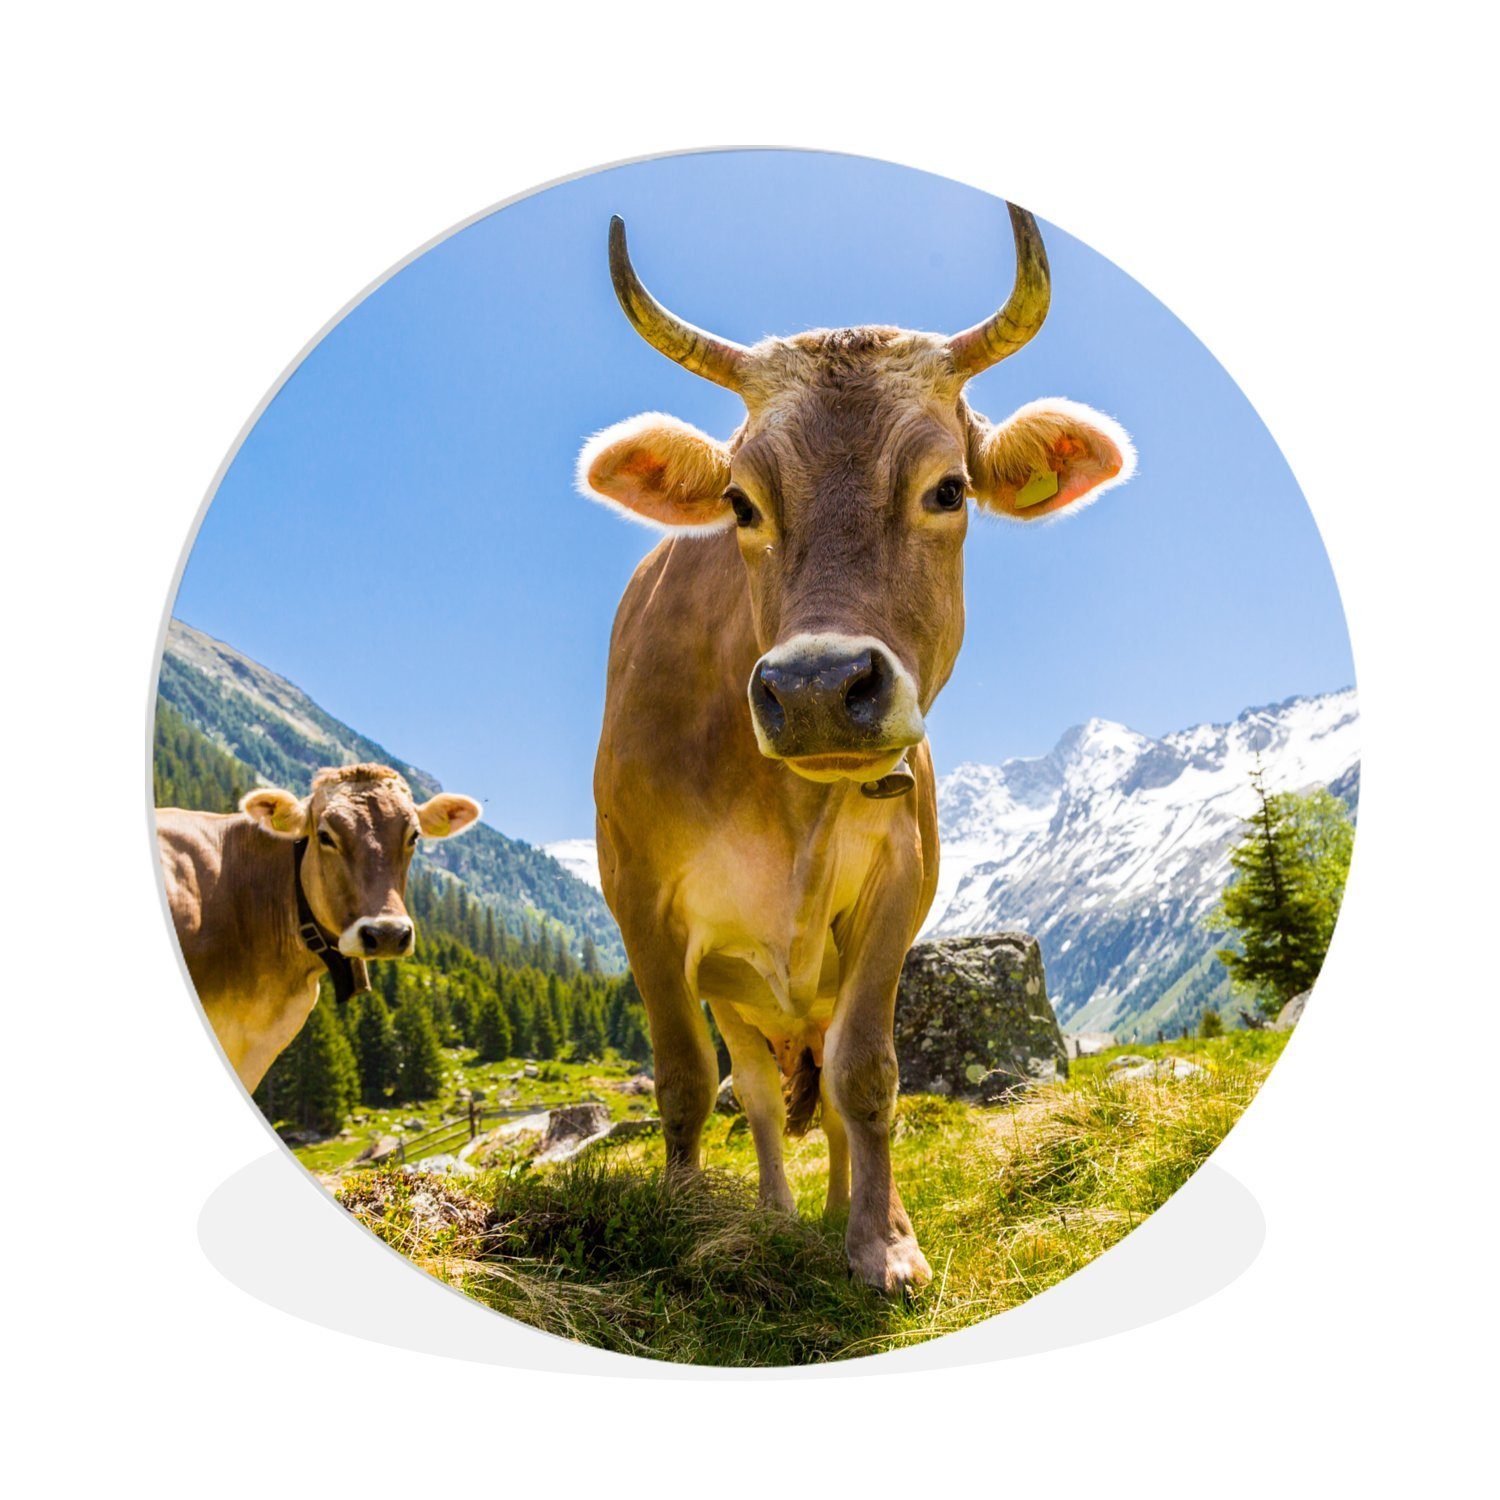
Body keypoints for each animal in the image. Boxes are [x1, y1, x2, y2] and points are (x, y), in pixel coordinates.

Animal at [578, 205, 1134, 1294]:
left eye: (948, 489)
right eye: (741, 503)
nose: (816, 688)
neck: (785, 806)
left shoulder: (898, 887)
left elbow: (866, 1075)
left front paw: (882, 1241)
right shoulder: (639, 896)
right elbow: (683, 1078)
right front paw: (685, 1221)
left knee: (827, 1088)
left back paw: (835, 1209)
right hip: (737, 990)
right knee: (754, 1091)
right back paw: (773, 1212)